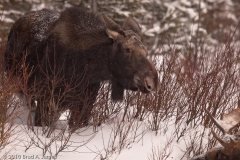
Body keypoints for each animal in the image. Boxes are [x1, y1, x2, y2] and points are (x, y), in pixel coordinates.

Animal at [4, 6, 158, 131]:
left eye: (146, 51)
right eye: (127, 49)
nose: (152, 81)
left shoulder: (85, 105)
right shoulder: (46, 101)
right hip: (15, 83)